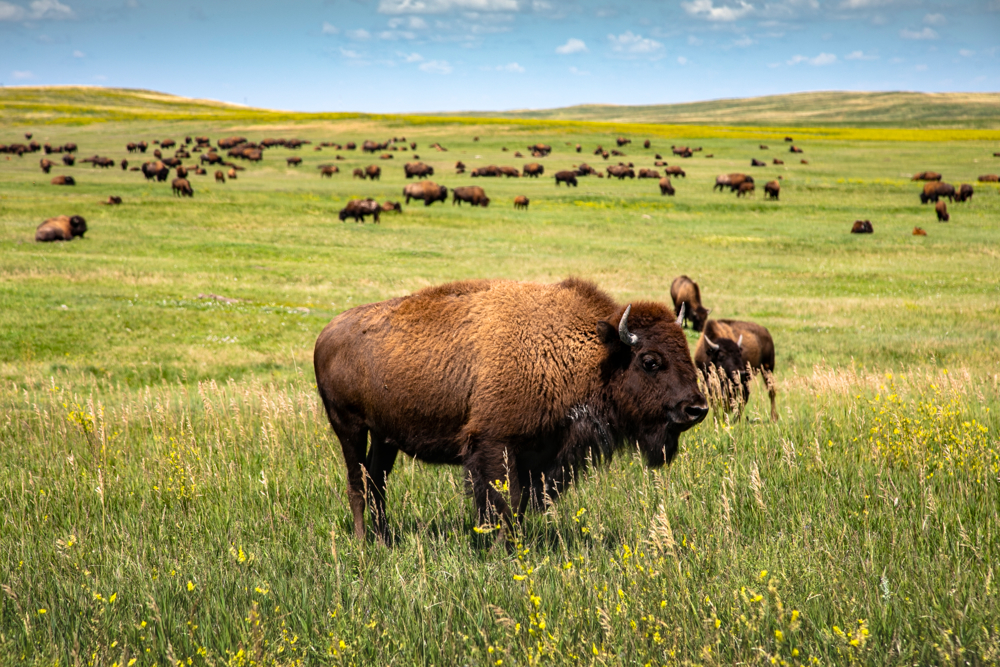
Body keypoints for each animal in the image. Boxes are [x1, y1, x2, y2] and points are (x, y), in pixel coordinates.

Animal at [314, 280, 712, 540]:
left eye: (684, 350)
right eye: (650, 361)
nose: (696, 408)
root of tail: (326, 333)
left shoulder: (540, 457)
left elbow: (516, 505)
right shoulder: (495, 445)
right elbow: (502, 500)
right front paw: (502, 549)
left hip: (385, 438)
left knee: (376, 481)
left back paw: (384, 539)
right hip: (349, 428)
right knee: (357, 482)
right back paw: (364, 543)